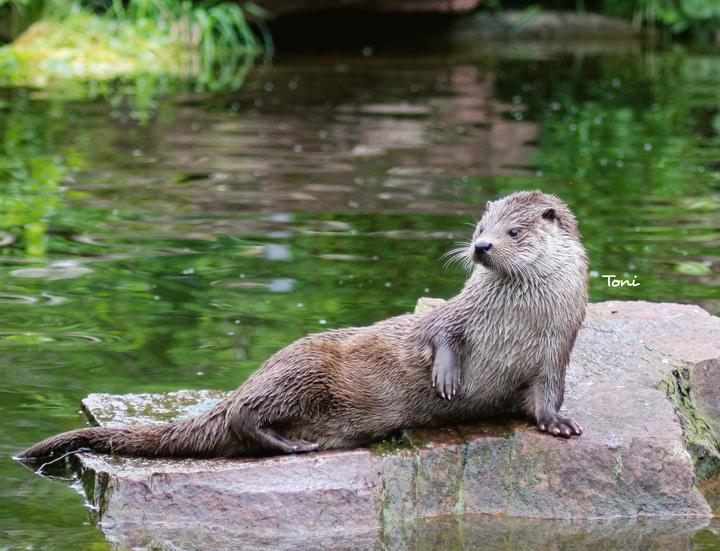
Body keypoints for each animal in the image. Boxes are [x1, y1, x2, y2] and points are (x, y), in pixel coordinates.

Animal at [17, 190, 587, 461]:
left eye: (513, 231)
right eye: (479, 227)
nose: (481, 247)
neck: (518, 323)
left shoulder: (557, 348)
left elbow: (545, 395)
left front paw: (559, 424)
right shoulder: (458, 312)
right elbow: (436, 330)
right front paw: (447, 378)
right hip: (304, 370)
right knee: (243, 414)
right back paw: (290, 444)